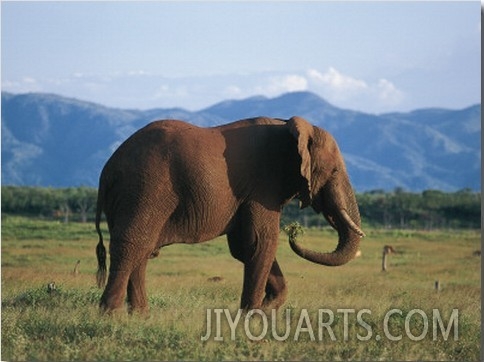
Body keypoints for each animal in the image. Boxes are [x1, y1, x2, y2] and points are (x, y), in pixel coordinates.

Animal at [94, 116, 364, 314]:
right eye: (335, 170)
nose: (294, 233)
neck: (290, 127)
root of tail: (107, 170)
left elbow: (244, 247)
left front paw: (267, 307)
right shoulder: (263, 186)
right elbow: (261, 243)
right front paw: (252, 317)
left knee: (143, 249)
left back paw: (140, 316)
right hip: (144, 190)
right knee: (132, 244)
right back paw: (111, 315)